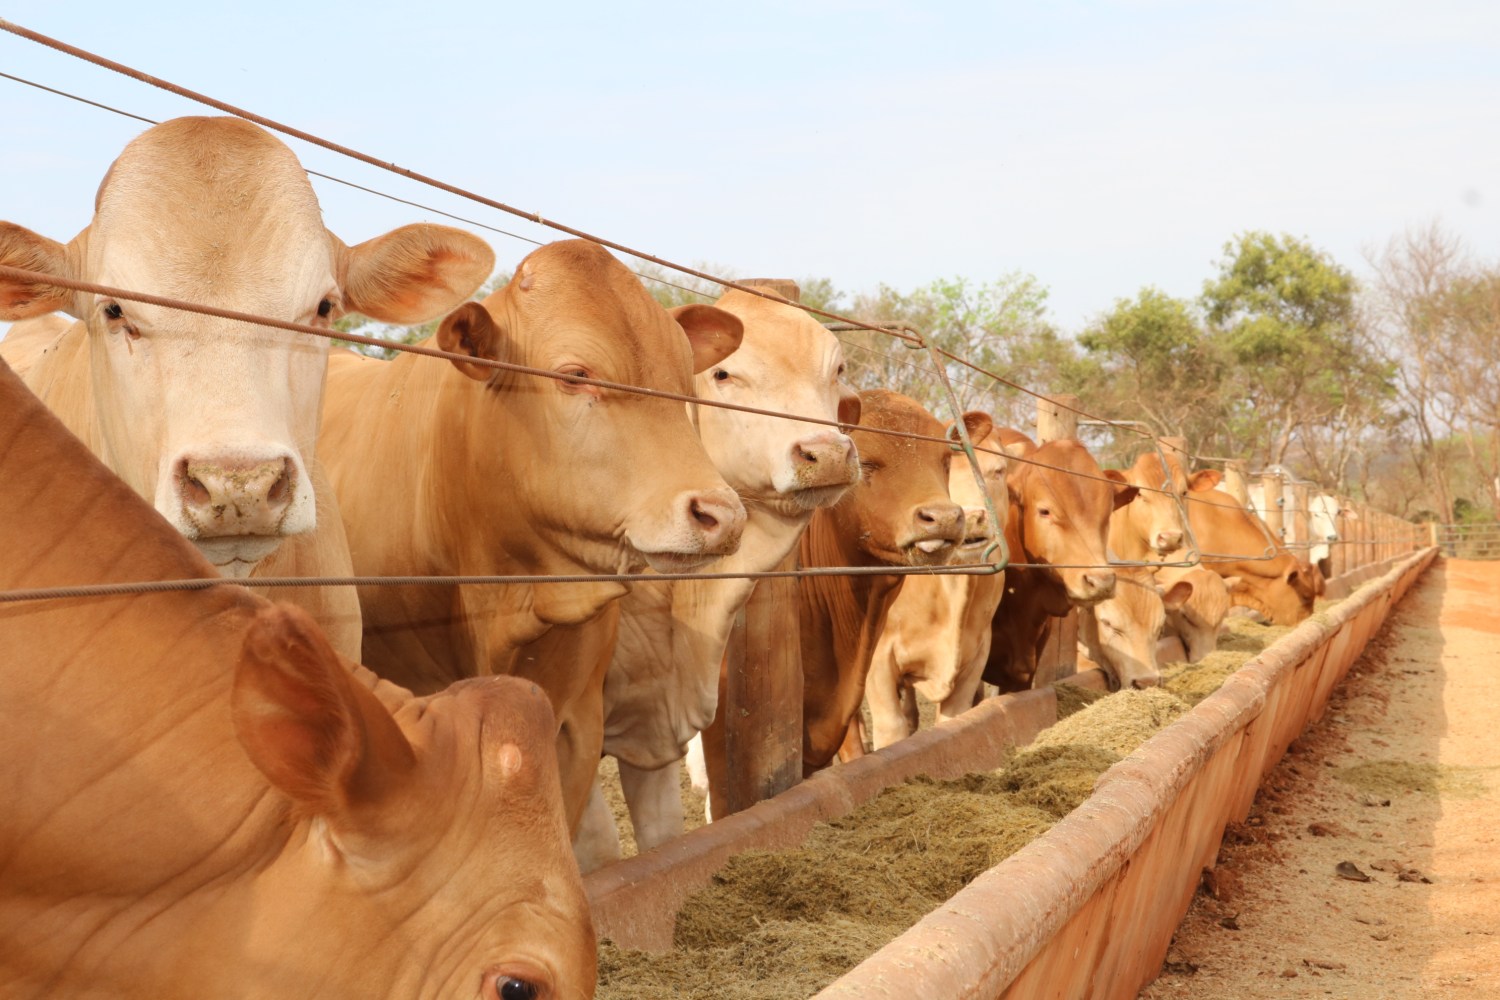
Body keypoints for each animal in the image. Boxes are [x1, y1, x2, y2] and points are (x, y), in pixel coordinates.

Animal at [570, 287, 864, 869]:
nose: (827, 455)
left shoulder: (651, 728)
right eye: (724, 374)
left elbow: (663, 840)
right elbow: (602, 853)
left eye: (838, 369)